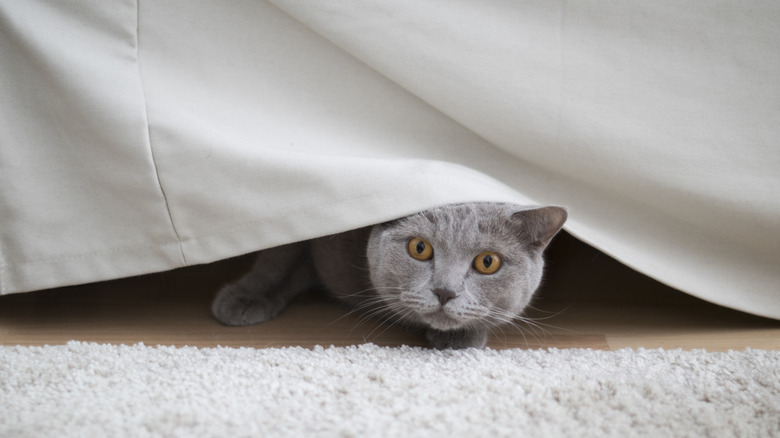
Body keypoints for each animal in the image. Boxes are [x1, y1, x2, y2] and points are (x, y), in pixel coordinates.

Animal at [213, 202, 568, 350]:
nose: (445, 291)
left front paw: (460, 337)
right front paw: (245, 299)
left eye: (488, 262)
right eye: (420, 248)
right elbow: (278, 257)